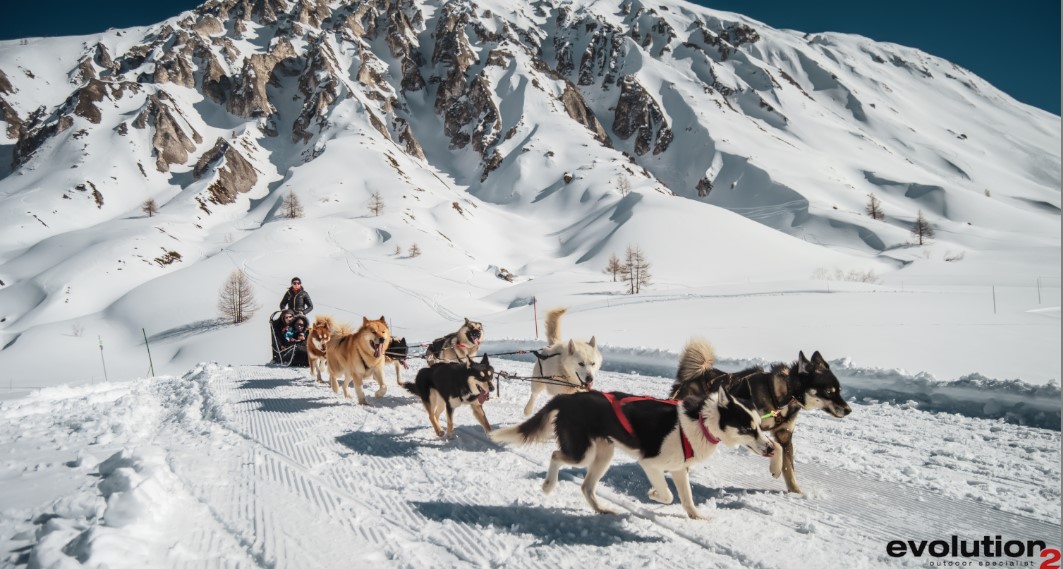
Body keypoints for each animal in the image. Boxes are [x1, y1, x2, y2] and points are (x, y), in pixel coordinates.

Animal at [671, 338, 854, 493]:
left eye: (839, 390)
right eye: (829, 392)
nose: (848, 410)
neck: (783, 395)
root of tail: (693, 376)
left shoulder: (785, 435)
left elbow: (789, 467)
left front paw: (797, 492)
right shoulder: (752, 427)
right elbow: (776, 447)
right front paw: (775, 468)